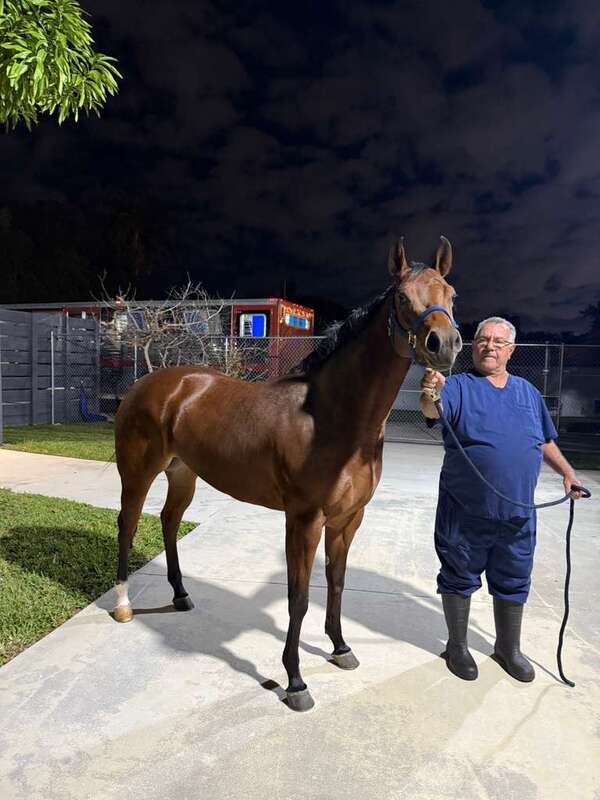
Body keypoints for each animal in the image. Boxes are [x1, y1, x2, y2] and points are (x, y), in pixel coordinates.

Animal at [112, 236, 462, 711]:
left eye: (451, 295)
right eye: (404, 298)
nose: (444, 344)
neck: (333, 417)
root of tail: (147, 385)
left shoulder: (349, 519)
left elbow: (337, 583)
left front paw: (340, 648)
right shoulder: (304, 520)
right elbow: (298, 598)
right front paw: (295, 682)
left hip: (182, 474)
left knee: (168, 522)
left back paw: (181, 595)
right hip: (138, 472)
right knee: (128, 523)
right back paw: (124, 605)